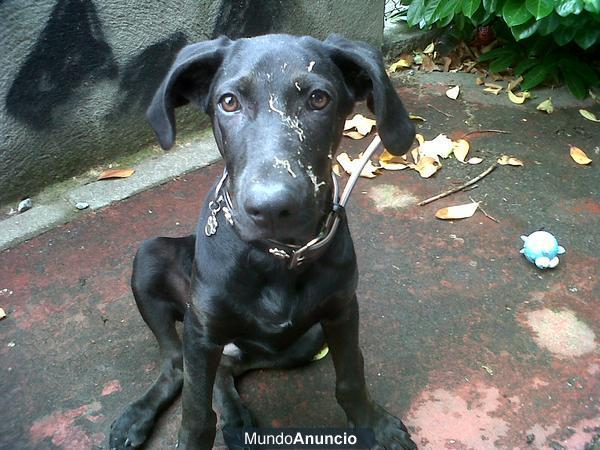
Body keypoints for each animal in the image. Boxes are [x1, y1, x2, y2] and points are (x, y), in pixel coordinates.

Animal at [109, 33, 418, 448]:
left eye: (318, 99)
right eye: (229, 102)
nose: (271, 208)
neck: (278, 257)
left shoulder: (342, 310)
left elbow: (352, 375)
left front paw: (373, 423)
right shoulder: (201, 332)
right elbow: (195, 414)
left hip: (306, 340)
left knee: (226, 368)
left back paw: (236, 418)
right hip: (150, 258)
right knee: (177, 365)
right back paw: (138, 418)